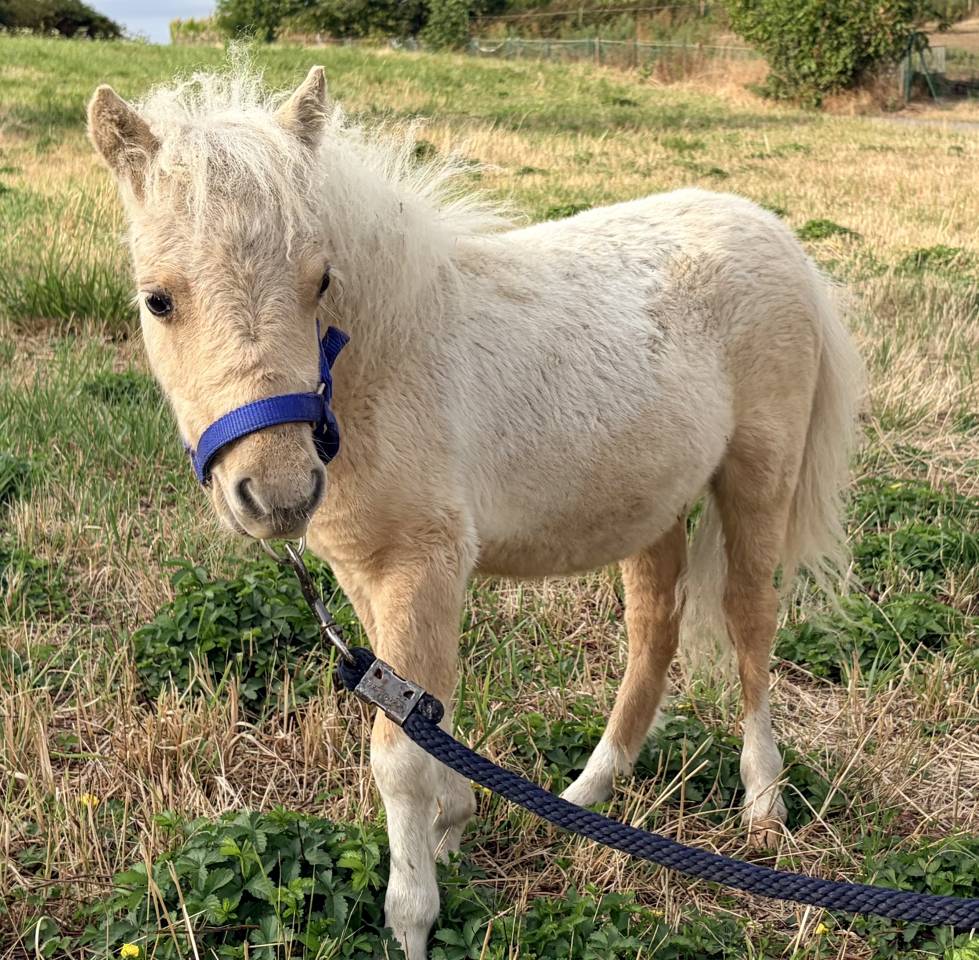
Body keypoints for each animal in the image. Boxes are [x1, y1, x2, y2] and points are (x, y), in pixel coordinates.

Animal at [87, 63, 864, 958]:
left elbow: (398, 752)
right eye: (157, 301)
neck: (385, 367)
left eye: (321, 282)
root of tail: (778, 237)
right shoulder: (370, 572)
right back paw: (587, 793)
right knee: (653, 629)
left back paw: (762, 802)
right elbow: (426, 708)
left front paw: (411, 917)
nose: (276, 493)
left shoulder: (421, 563)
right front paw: (453, 825)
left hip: (758, 475)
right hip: (653, 500)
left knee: (748, 619)